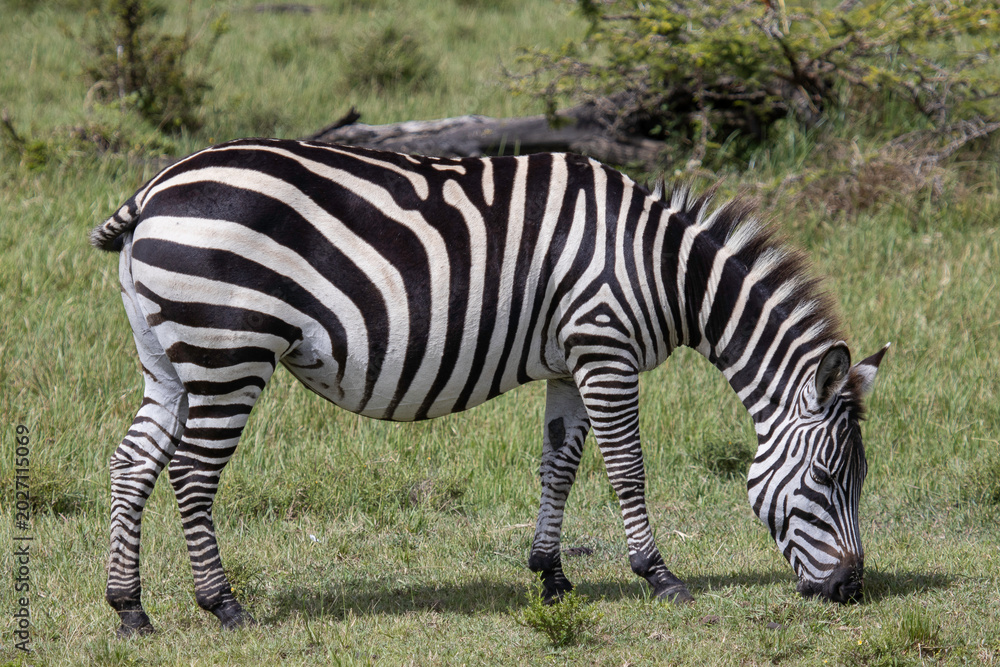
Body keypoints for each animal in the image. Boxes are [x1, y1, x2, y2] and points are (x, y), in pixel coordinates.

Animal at [91, 139, 886, 635]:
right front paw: (660, 576)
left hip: (169, 359)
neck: (664, 268)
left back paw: (130, 609)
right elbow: (626, 468)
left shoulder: (570, 359)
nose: (851, 592)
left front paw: (551, 575)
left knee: (133, 464)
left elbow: (559, 465)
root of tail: (155, 189)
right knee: (192, 474)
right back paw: (222, 605)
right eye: (827, 477)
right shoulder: (606, 344)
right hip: (228, 350)